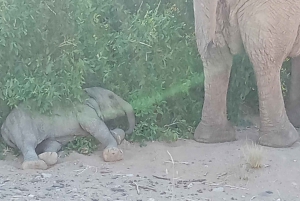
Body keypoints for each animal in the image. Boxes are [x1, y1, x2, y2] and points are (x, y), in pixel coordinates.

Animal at [0, 87, 135, 170]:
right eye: (111, 97)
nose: (127, 130)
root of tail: (4, 127)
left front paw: (117, 134)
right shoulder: (85, 111)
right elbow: (95, 127)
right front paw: (113, 151)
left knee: (52, 143)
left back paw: (48, 156)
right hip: (21, 125)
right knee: (28, 143)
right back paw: (36, 164)